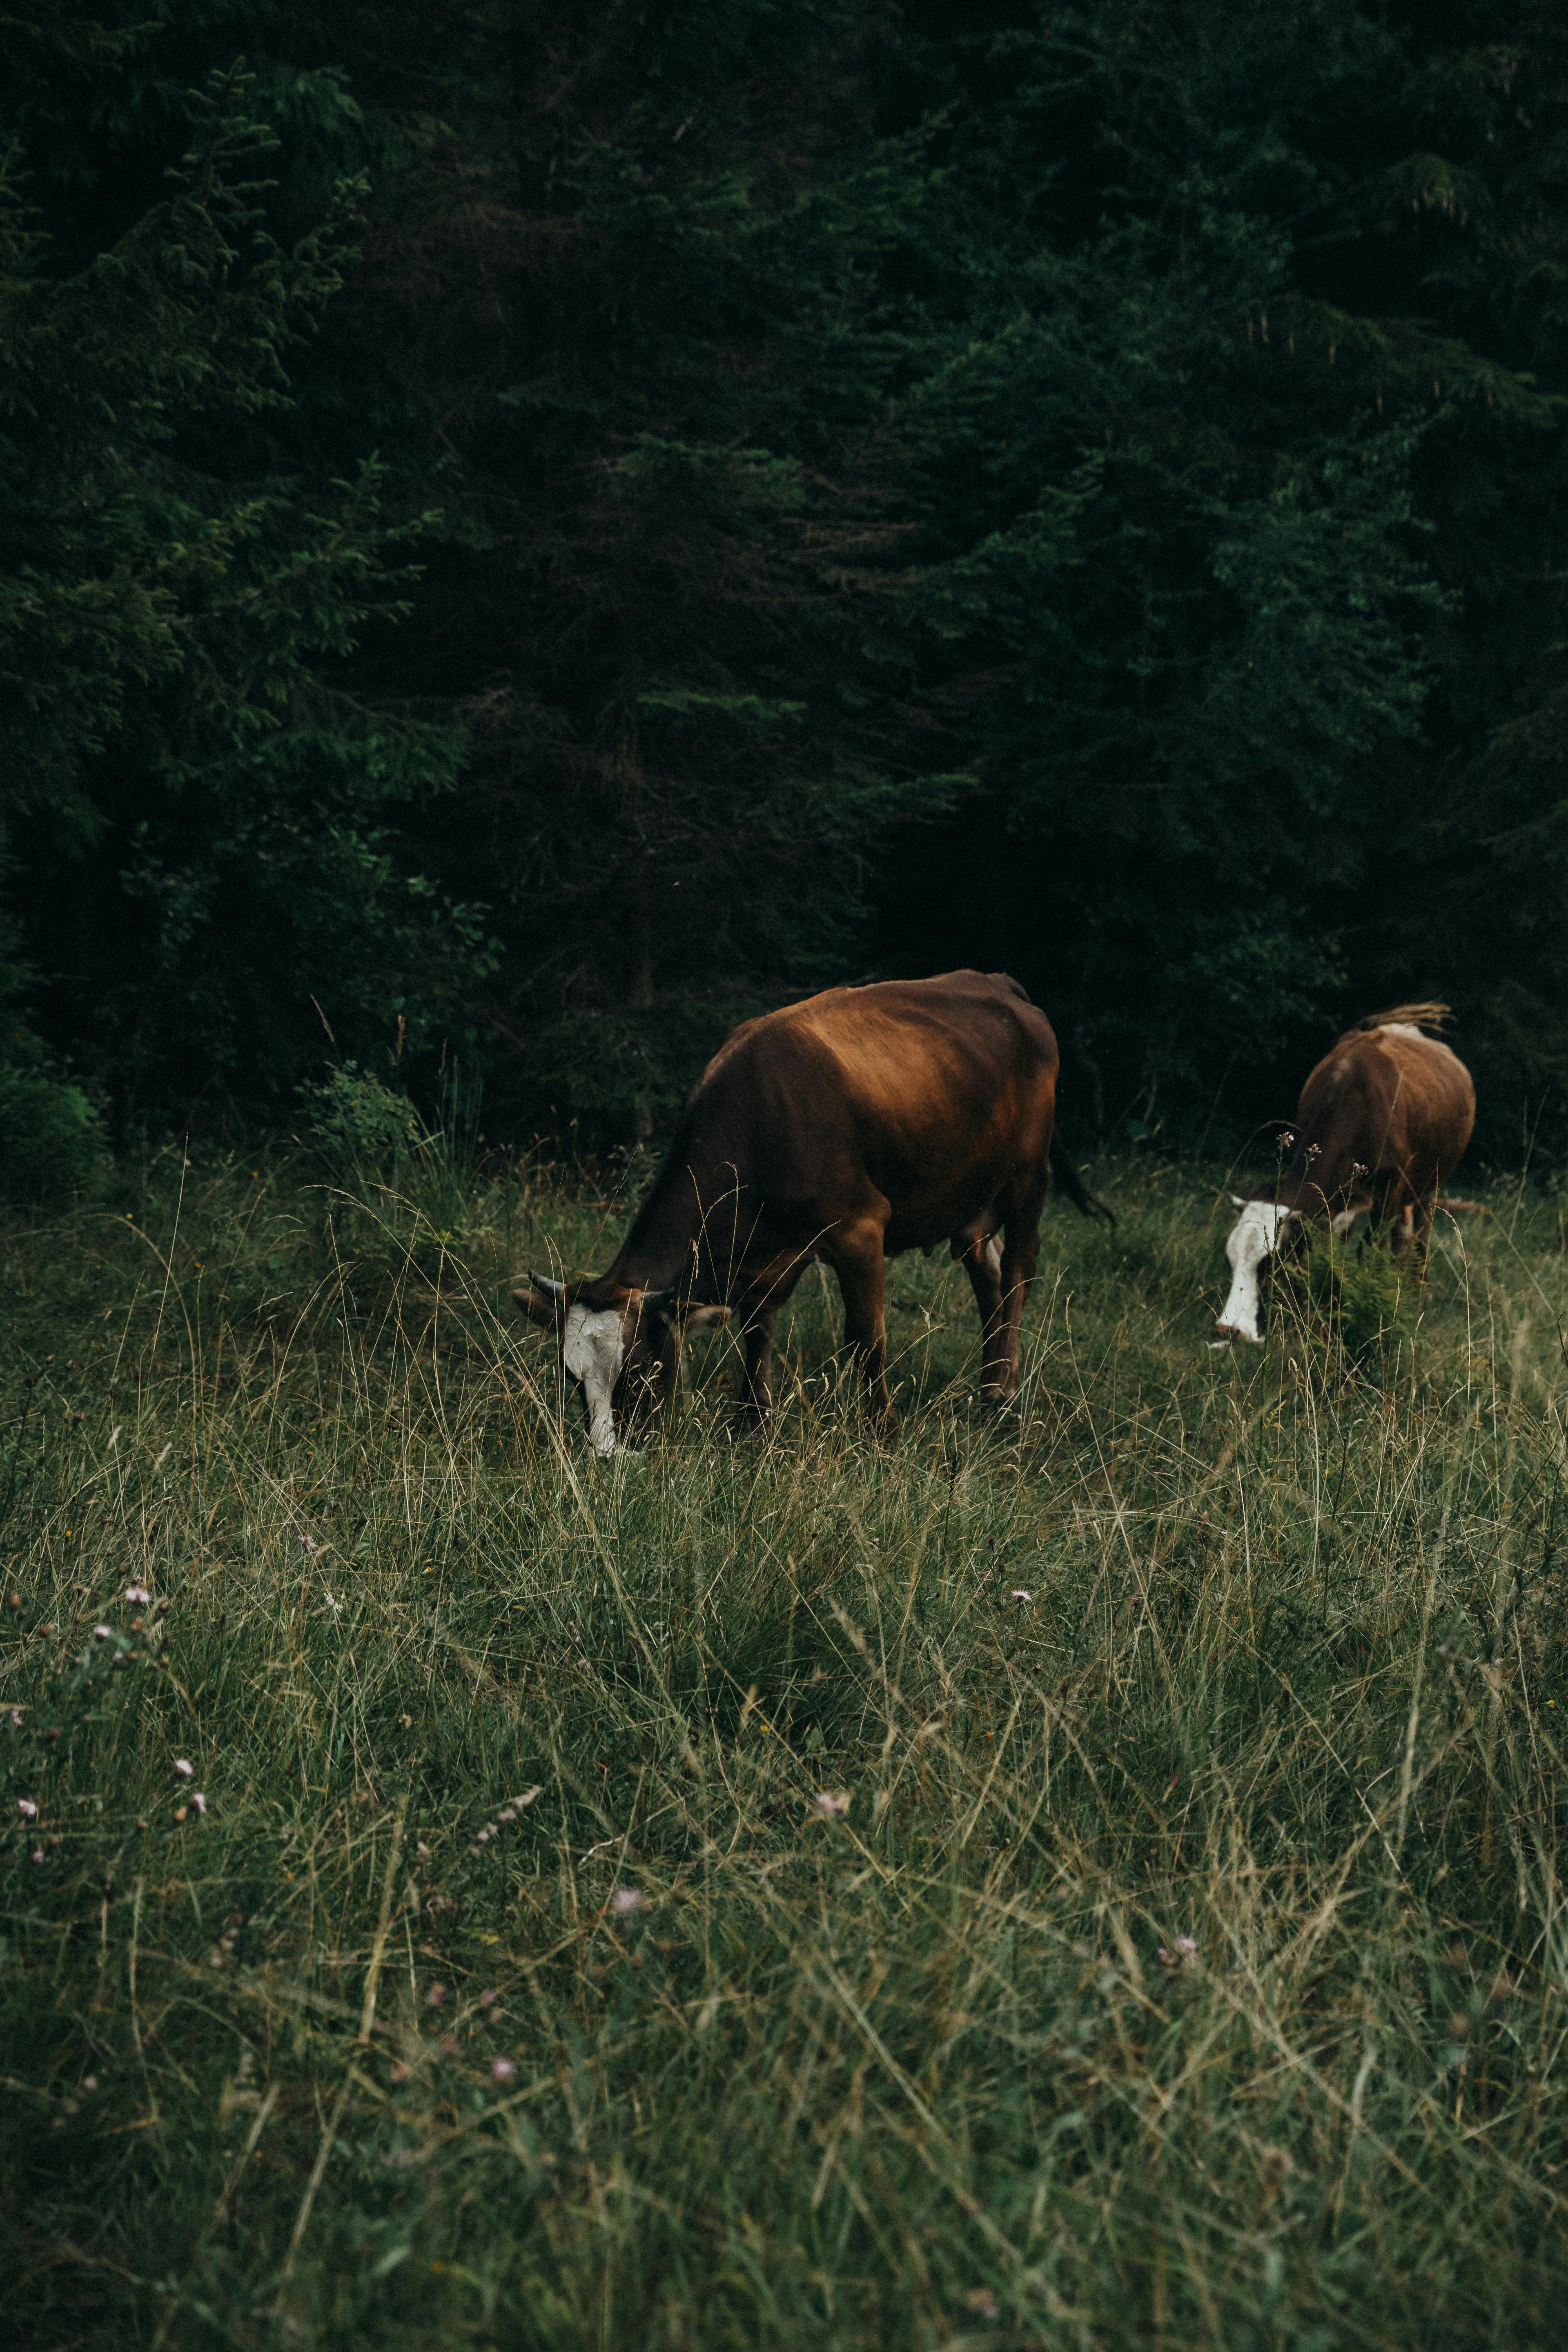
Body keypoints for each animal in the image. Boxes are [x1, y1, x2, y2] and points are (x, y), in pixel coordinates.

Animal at [514, 970, 1113, 1455]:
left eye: (640, 1369)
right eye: (572, 1377)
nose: (607, 1454)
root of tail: (1000, 984)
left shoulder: (860, 1227)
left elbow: (867, 1337)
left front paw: (883, 1436)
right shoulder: (765, 1253)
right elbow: (756, 1329)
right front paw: (751, 1425)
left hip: (1028, 1178)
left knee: (1017, 1276)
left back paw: (1007, 1395)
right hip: (967, 1196)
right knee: (987, 1274)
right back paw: (988, 1389)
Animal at [1214, 1005, 1475, 1346]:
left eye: (1272, 1265)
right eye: (1230, 1260)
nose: (1230, 1330)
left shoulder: (1389, 1186)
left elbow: (1371, 1249)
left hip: (1430, 1182)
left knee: (1421, 1230)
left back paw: (1420, 1291)